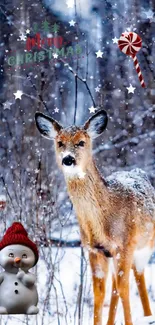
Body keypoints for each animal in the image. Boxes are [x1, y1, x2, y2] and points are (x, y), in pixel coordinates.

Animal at [35, 109, 155, 324]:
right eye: (60, 142)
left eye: (81, 142)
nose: (68, 159)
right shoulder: (94, 249)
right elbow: (99, 293)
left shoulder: (125, 244)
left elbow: (124, 289)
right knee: (118, 284)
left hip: (145, 245)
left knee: (136, 278)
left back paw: (148, 315)